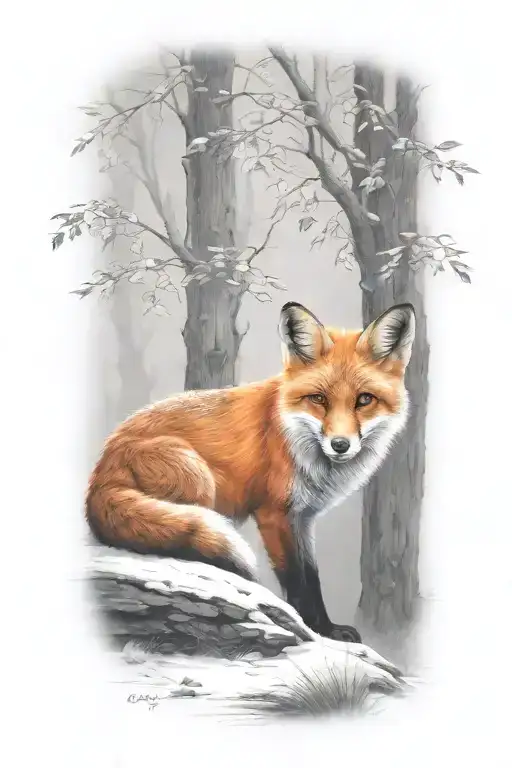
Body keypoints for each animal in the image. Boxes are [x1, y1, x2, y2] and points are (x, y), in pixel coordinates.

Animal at [86, 301, 416, 643]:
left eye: (364, 400)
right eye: (318, 399)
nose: (340, 445)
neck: (292, 435)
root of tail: (101, 469)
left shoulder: (303, 518)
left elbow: (312, 576)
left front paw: (327, 628)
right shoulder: (274, 514)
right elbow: (296, 580)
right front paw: (316, 630)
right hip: (196, 475)